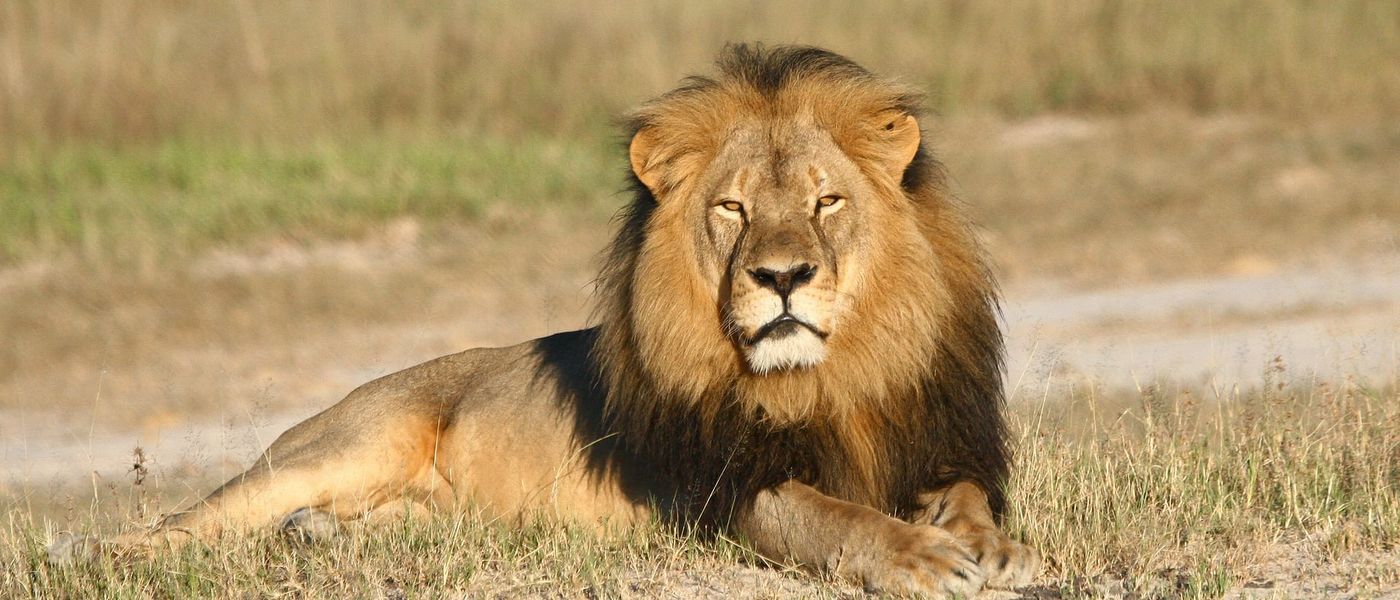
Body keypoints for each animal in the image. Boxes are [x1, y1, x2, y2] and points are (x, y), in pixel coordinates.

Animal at [49, 44, 1039, 597]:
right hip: (339, 445)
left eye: (827, 201)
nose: (783, 276)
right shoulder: (725, 492)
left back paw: (319, 536)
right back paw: (87, 555)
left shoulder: (935, 441)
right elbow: (832, 520)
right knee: (191, 523)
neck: (831, 377)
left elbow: (969, 498)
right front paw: (921, 558)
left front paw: (994, 550)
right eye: (732, 209)